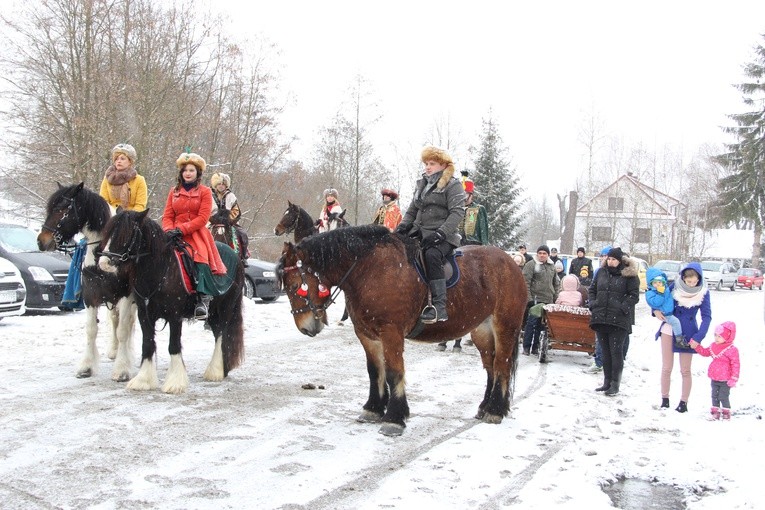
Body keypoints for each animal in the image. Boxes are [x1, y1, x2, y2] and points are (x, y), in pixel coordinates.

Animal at [278, 225, 528, 436]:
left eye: (295, 286)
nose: (306, 327)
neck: (368, 269)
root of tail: (512, 263)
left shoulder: (391, 333)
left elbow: (393, 372)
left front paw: (394, 418)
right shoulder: (367, 335)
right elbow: (374, 371)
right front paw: (373, 408)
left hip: (505, 327)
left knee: (502, 366)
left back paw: (495, 410)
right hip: (481, 331)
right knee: (490, 367)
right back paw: (486, 406)